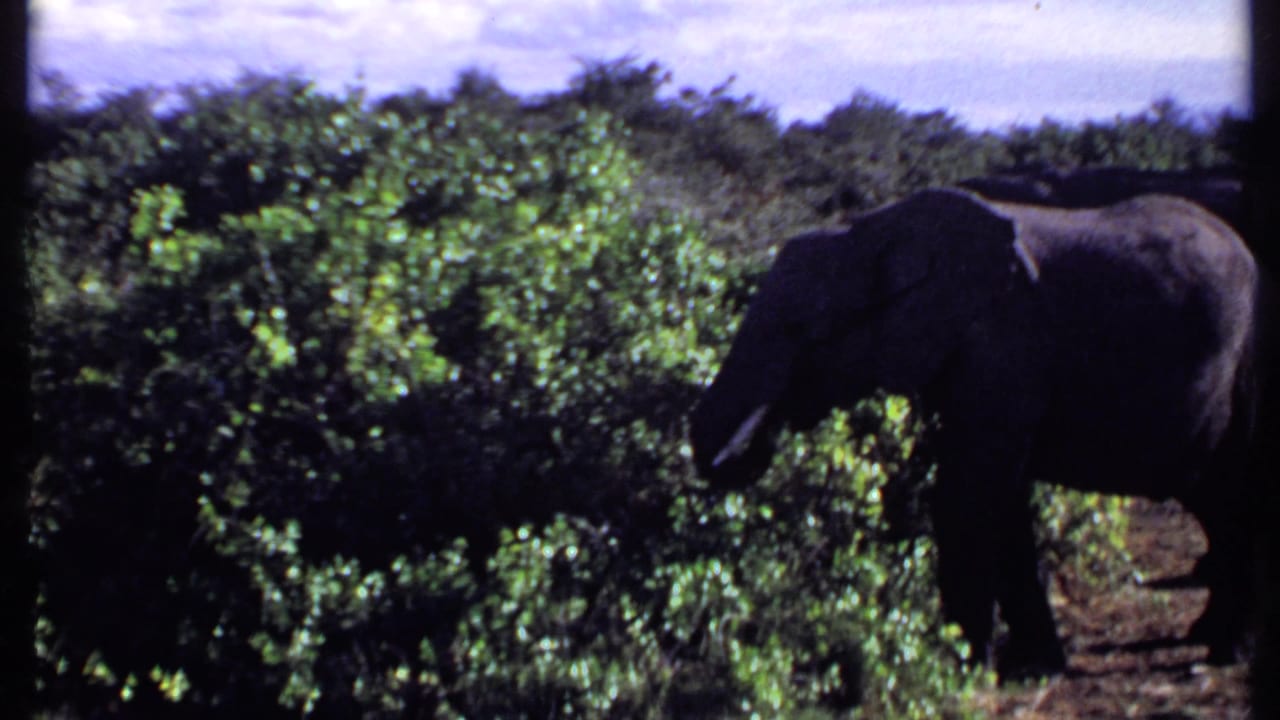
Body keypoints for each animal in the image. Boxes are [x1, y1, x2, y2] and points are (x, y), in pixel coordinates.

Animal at [689, 187, 1267, 678]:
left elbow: (969, 493)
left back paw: (1224, 654)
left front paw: (959, 669)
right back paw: (1206, 636)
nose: (750, 449)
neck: (869, 233)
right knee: (1216, 501)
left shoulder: (1006, 341)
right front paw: (1032, 668)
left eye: (800, 332)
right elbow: (1001, 501)